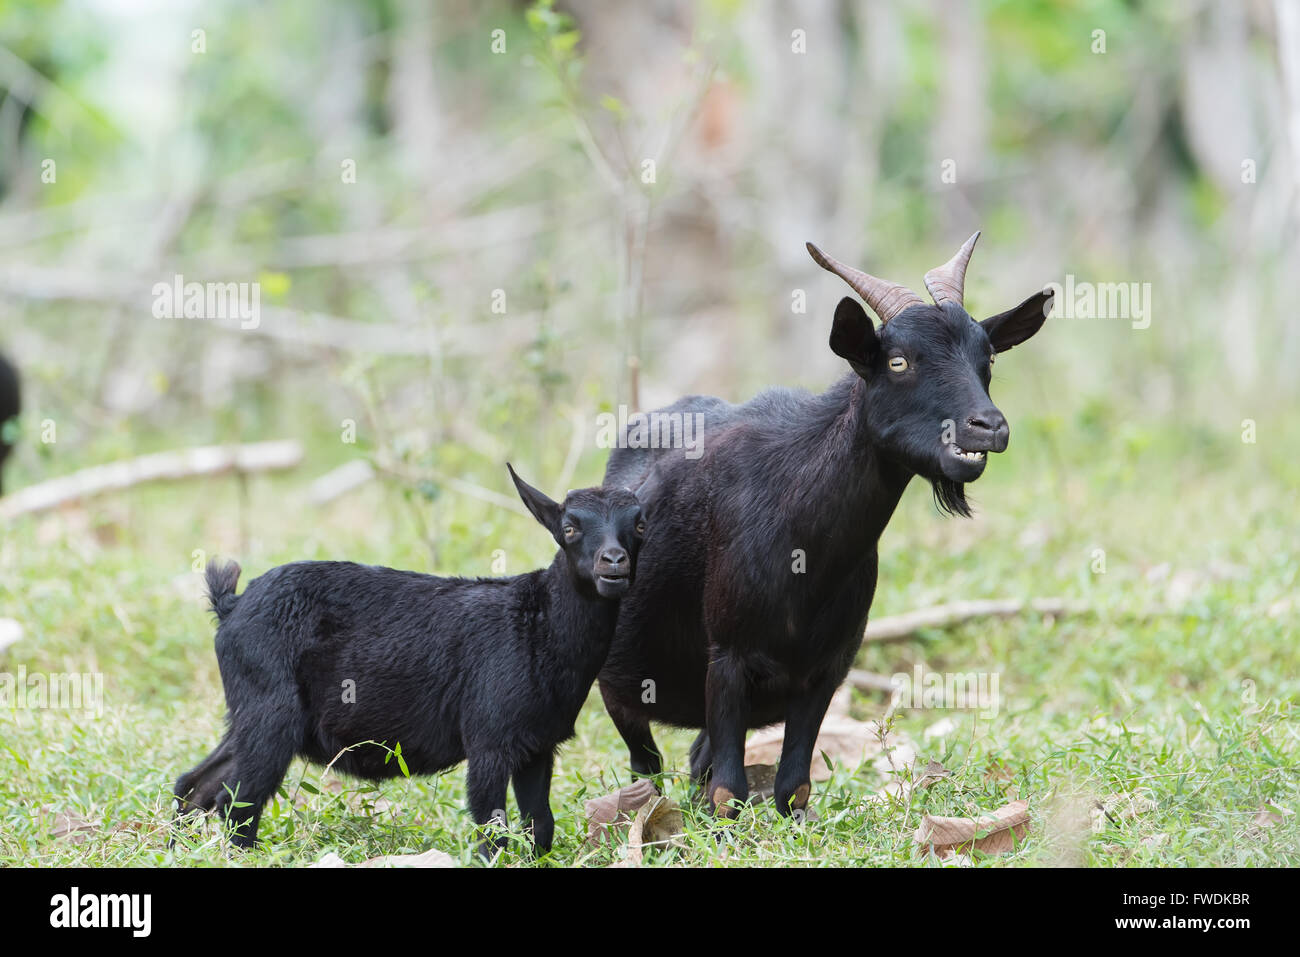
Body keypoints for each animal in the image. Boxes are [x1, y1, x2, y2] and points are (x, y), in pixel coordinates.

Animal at [173, 465, 645, 855]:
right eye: (569, 527)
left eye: (640, 524)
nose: (613, 562)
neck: (537, 624)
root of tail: (231, 606)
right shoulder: (489, 739)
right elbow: (492, 827)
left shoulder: (538, 745)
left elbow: (539, 825)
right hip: (271, 714)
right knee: (237, 801)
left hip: (249, 716)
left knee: (196, 785)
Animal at [597, 232, 1053, 819]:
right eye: (898, 361)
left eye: (988, 356)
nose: (988, 427)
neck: (804, 547)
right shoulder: (727, 655)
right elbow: (728, 793)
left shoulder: (827, 668)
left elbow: (793, 787)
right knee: (646, 764)